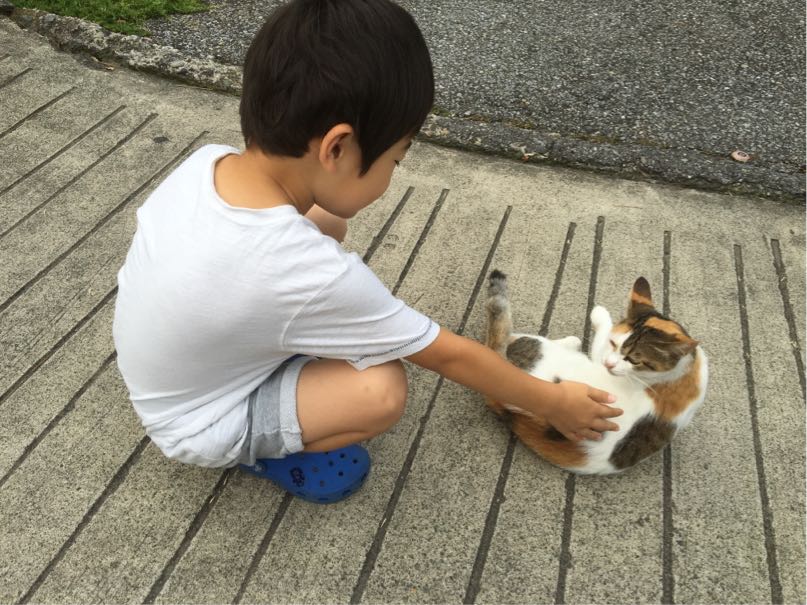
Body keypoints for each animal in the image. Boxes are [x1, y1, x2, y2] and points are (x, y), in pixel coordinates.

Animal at [484, 270, 708, 475]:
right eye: (614, 343)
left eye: (634, 360)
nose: (608, 364)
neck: (684, 371)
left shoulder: (604, 360)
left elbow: (601, 339)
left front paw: (598, 312)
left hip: (538, 349)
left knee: (516, 337)